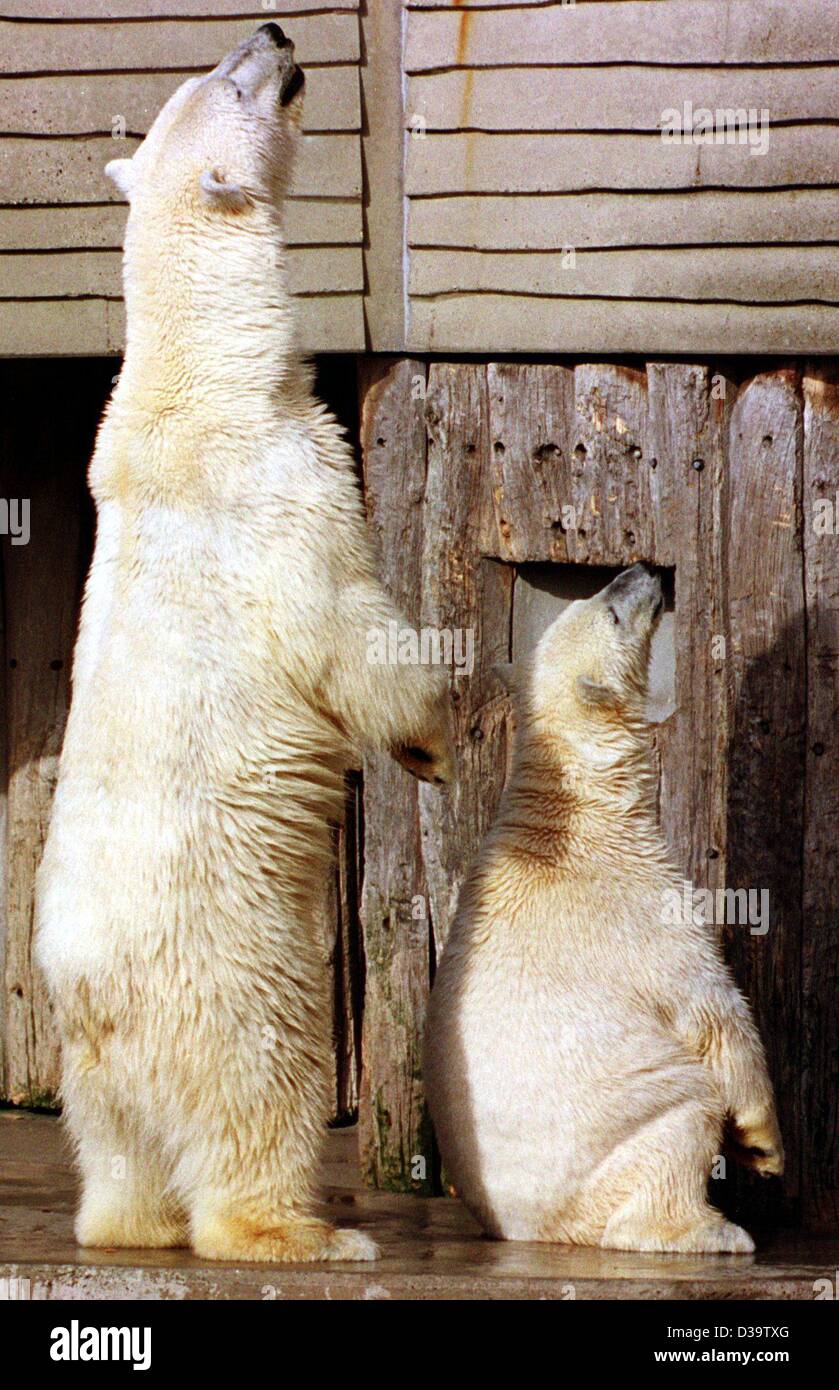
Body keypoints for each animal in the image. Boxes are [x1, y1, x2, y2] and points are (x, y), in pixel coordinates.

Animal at [35, 24, 453, 1264]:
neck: (196, 375)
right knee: (262, 1087)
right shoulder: (280, 483)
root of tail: (105, 1014)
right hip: (234, 977)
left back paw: (126, 1223)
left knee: (118, 1154)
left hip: (89, 1070)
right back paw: (303, 1231)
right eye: (230, 82)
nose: (271, 31)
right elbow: (347, 630)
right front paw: (434, 738)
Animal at [424, 563, 782, 1253]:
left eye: (591, 595)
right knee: (683, 1114)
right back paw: (713, 1230)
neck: (576, 810)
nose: (637, 570)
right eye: (610, 611)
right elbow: (716, 1012)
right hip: (620, 1141)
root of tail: (529, 1229)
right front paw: (763, 1143)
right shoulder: (637, 905)